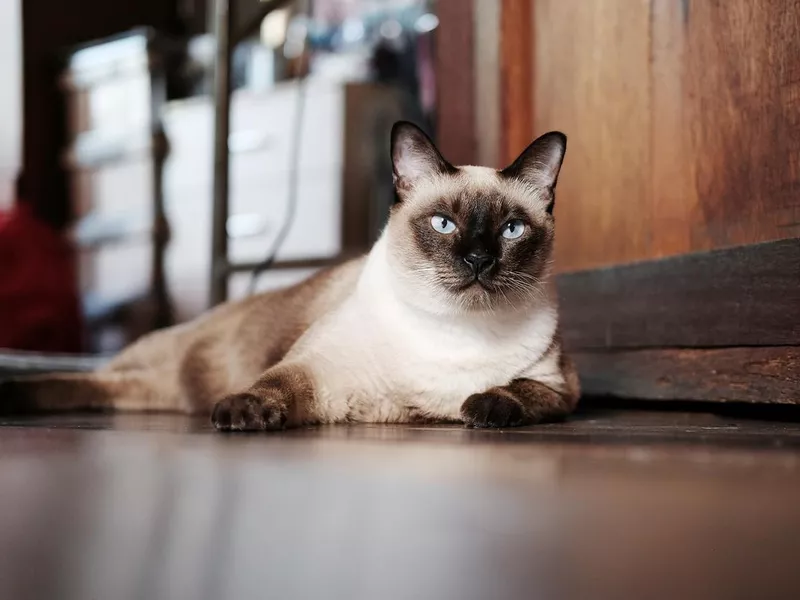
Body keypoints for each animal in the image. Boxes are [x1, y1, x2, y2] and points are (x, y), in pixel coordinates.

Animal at [0, 123, 580, 432]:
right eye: (444, 224)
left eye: (510, 229)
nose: (479, 260)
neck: (452, 331)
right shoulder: (314, 372)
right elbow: (272, 385)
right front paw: (242, 412)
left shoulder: (560, 388)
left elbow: (516, 392)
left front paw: (482, 407)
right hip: (156, 358)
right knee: (90, 375)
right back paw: (18, 393)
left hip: (152, 391)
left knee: (106, 387)